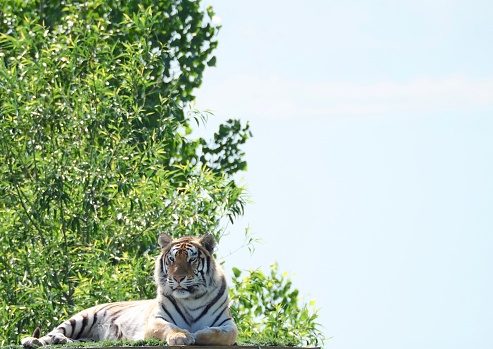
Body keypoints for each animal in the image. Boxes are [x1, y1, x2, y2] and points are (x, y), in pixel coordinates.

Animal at [22, 234, 237, 346]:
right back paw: (35, 340)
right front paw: (182, 336)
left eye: (192, 259)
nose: (177, 278)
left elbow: (220, 334)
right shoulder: (156, 320)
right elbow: (171, 327)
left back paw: (64, 341)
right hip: (81, 319)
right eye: (172, 259)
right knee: (50, 333)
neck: (191, 298)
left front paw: (198, 334)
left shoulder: (228, 324)